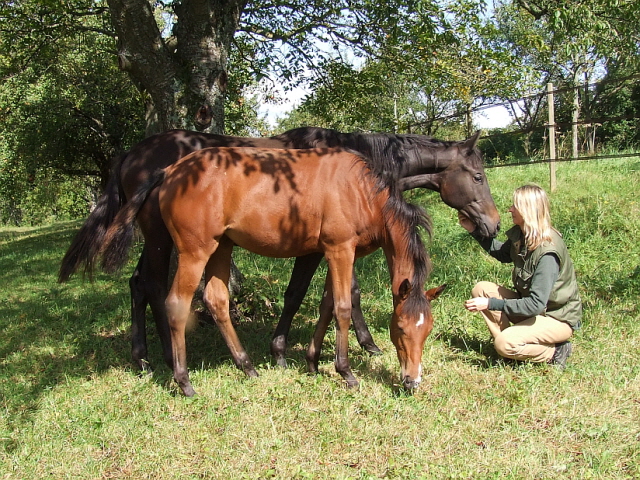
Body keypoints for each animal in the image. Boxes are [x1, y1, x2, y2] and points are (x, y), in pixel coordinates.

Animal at [60, 126, 500, 372]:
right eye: (478, 175)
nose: (494, 224)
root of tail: (133, 155)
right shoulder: (321, 249)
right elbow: (313, 294)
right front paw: (345, 346)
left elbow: (325, 297)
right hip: (162, 240)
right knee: (153, 286)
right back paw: (166, 359)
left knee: (140, 284)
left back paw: (146, 356)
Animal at [101, 147, 440, 398]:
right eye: (401, 329)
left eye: (427, 330)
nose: (412, 381)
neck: (360, 191)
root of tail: (170, 172)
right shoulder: (340, 250)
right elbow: (342, 308)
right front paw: (345, 371)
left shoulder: (333, 253)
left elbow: (327, 305)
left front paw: (312, 362)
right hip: (194, 252)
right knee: (176, 304)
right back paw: (183, 380)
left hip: (221, 247)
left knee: (216, 300)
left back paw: (246, 366)